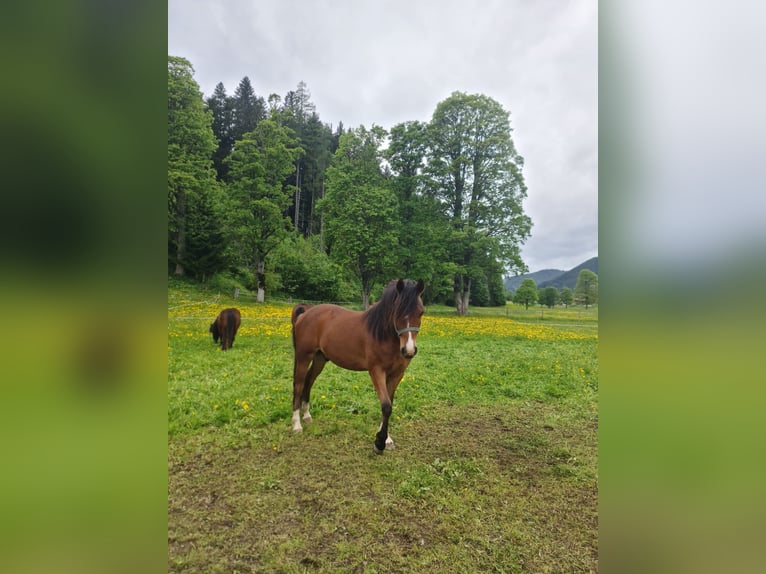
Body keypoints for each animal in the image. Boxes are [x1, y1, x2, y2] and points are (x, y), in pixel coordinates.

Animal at [290, 279, 424, 454]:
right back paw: (296, 425)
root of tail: (307, 311)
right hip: (303, 356)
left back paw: (306, 416)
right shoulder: (376, 371)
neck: (382, 334)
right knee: (298, 384)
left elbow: (389, 404)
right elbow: (386, 405)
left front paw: (386, 439)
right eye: (397, 312)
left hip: (319, 359)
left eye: (421, 312)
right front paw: (379, 443)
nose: (408, 351)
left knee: (308, 381)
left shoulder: (397, 374)